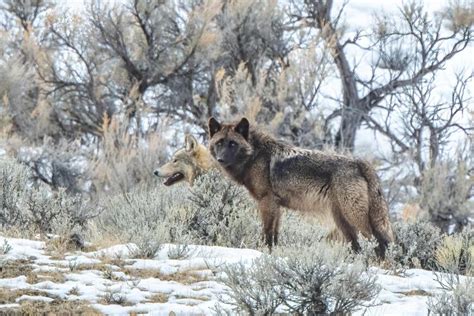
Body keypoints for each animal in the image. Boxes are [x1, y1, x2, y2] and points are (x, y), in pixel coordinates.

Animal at [209, 116, 394, 254]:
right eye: (219, 143)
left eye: (233, 144)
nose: (220, 159)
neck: (256, 156)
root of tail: (360, 163)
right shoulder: (277, 206)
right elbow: (275, 235)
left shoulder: (267, 202)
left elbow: (267, 234)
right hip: (342, 220)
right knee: (358, 246)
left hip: (354, 217)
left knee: (375, 242)